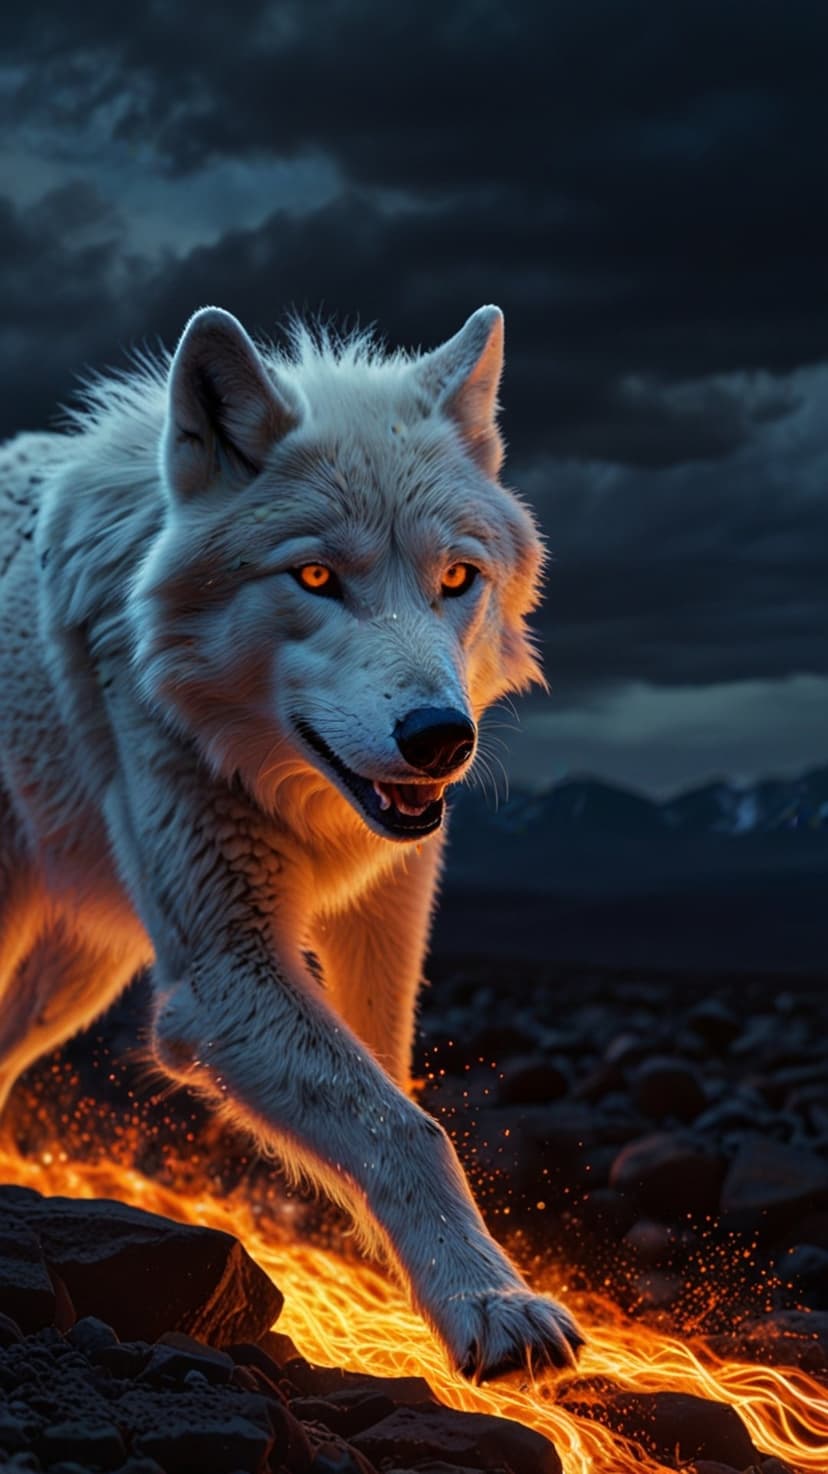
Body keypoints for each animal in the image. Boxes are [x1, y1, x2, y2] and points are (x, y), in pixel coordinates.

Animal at [0, 303, 583, 1380]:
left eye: (457, 578)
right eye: (315, 575)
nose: (440, 738)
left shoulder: (383, 920)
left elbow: (388, 1091)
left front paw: (403, 1281)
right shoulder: (227, 975)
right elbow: (408, 1127)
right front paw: (490, 1303)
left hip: (79, 972)